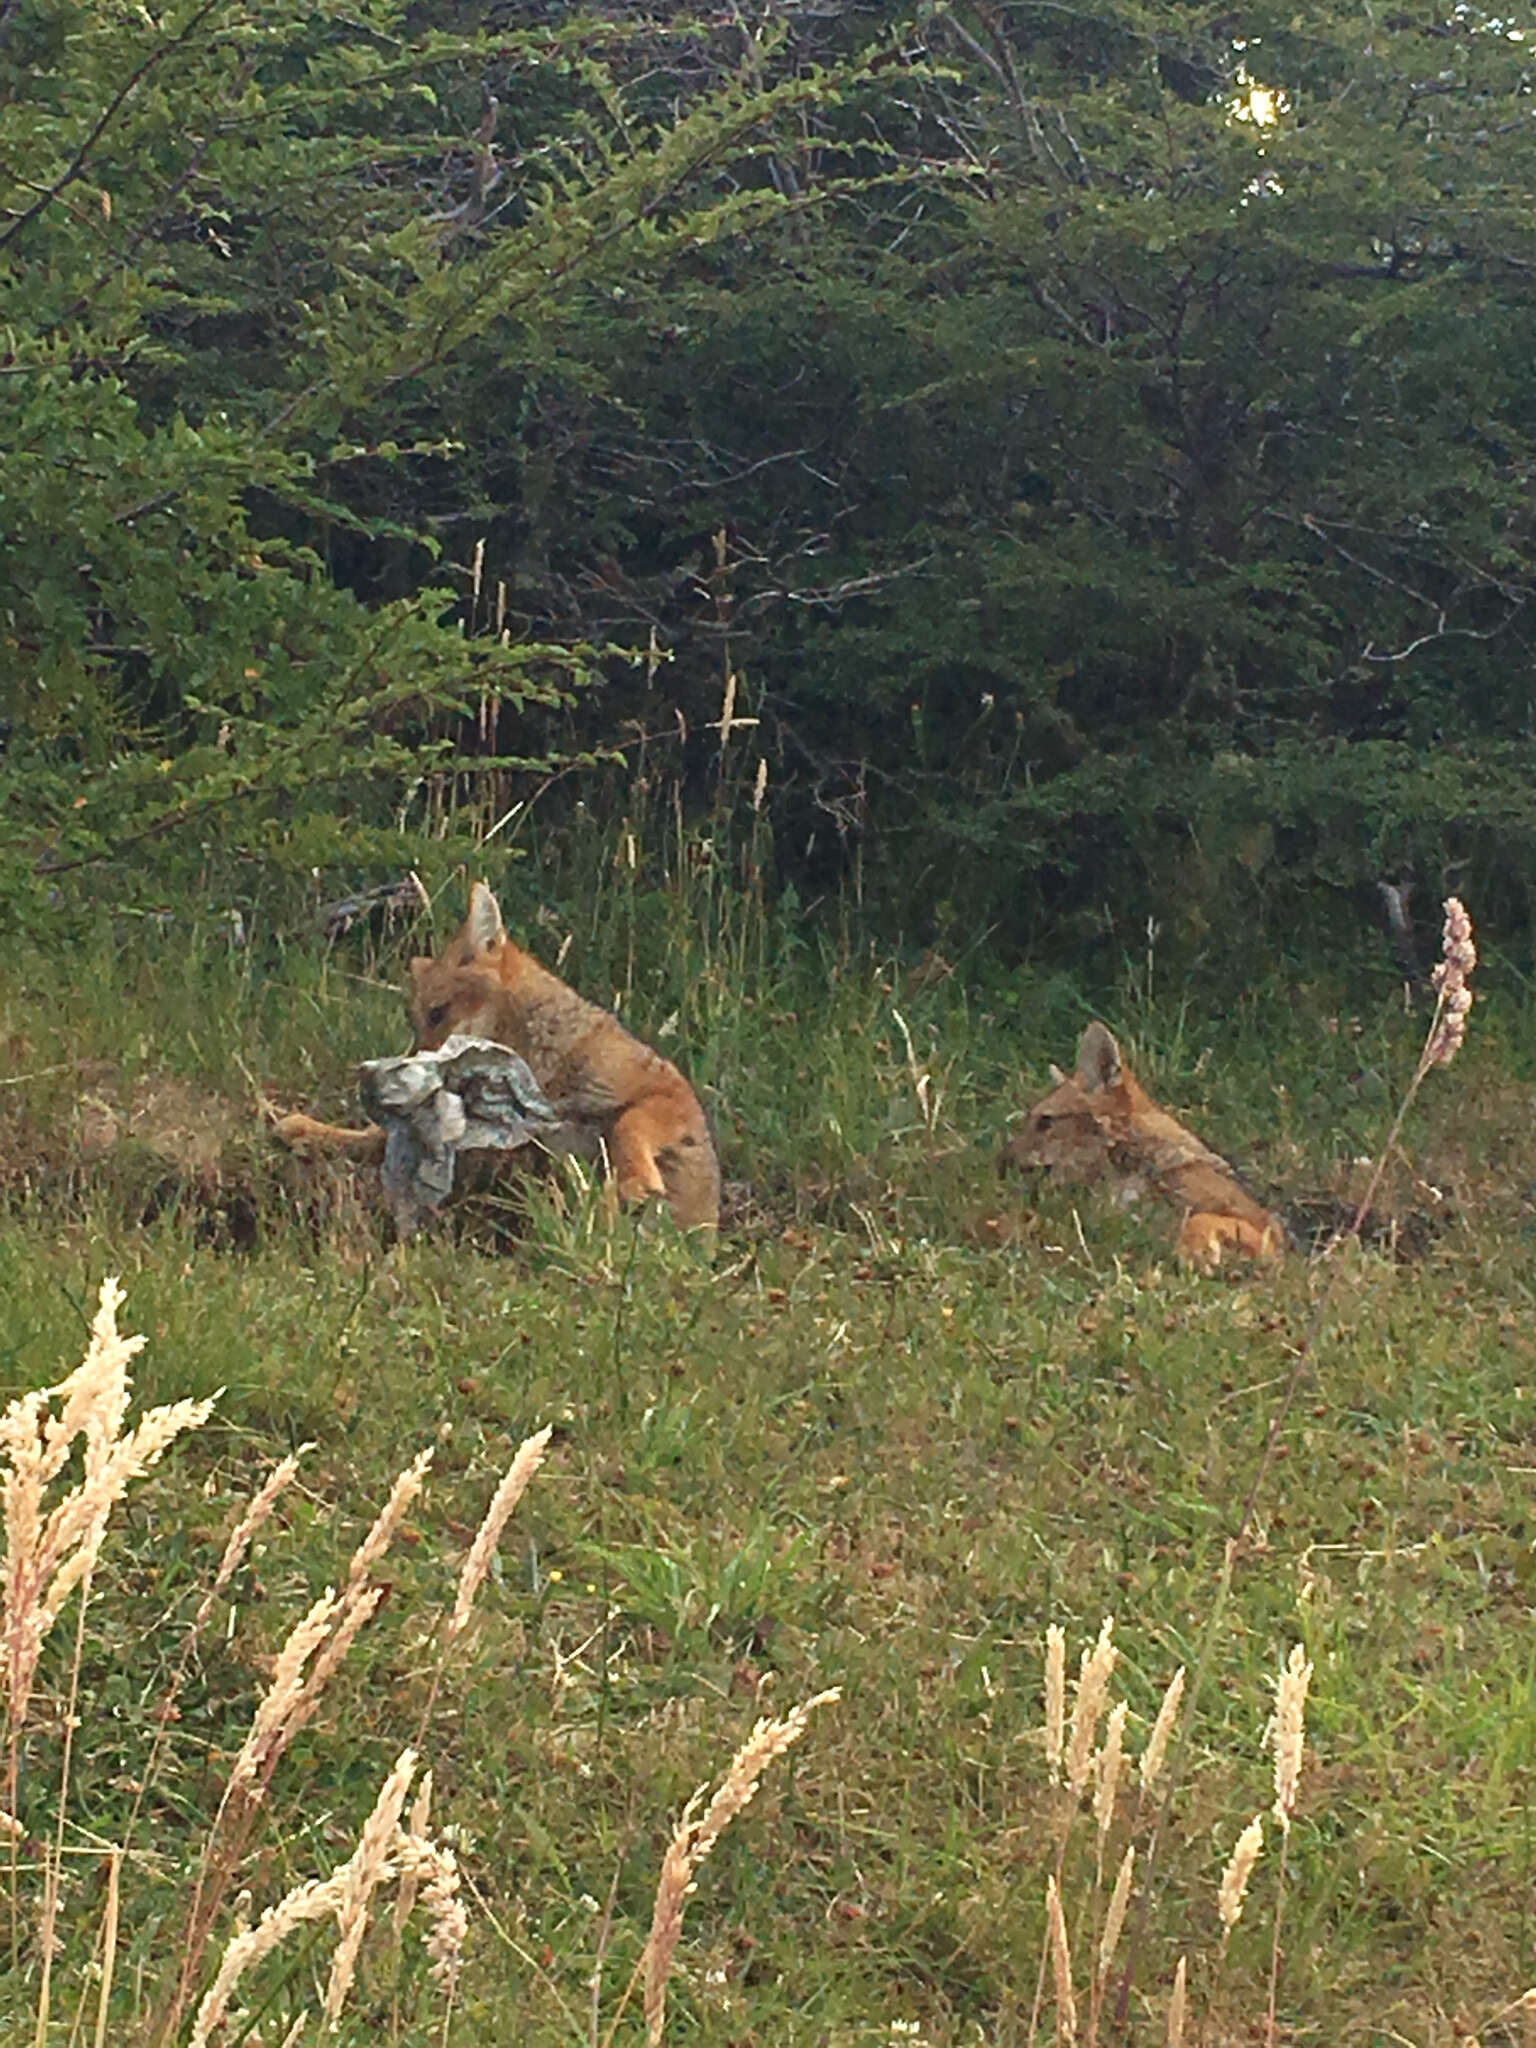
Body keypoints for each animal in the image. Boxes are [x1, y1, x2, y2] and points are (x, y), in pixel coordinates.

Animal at [276, 880, 720, 1228]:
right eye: (415, 1026)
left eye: (437, 1014)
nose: (411, 1069)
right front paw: (311, 1131)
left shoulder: (669, 1090)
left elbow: (627, 1125)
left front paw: (633, 1182)